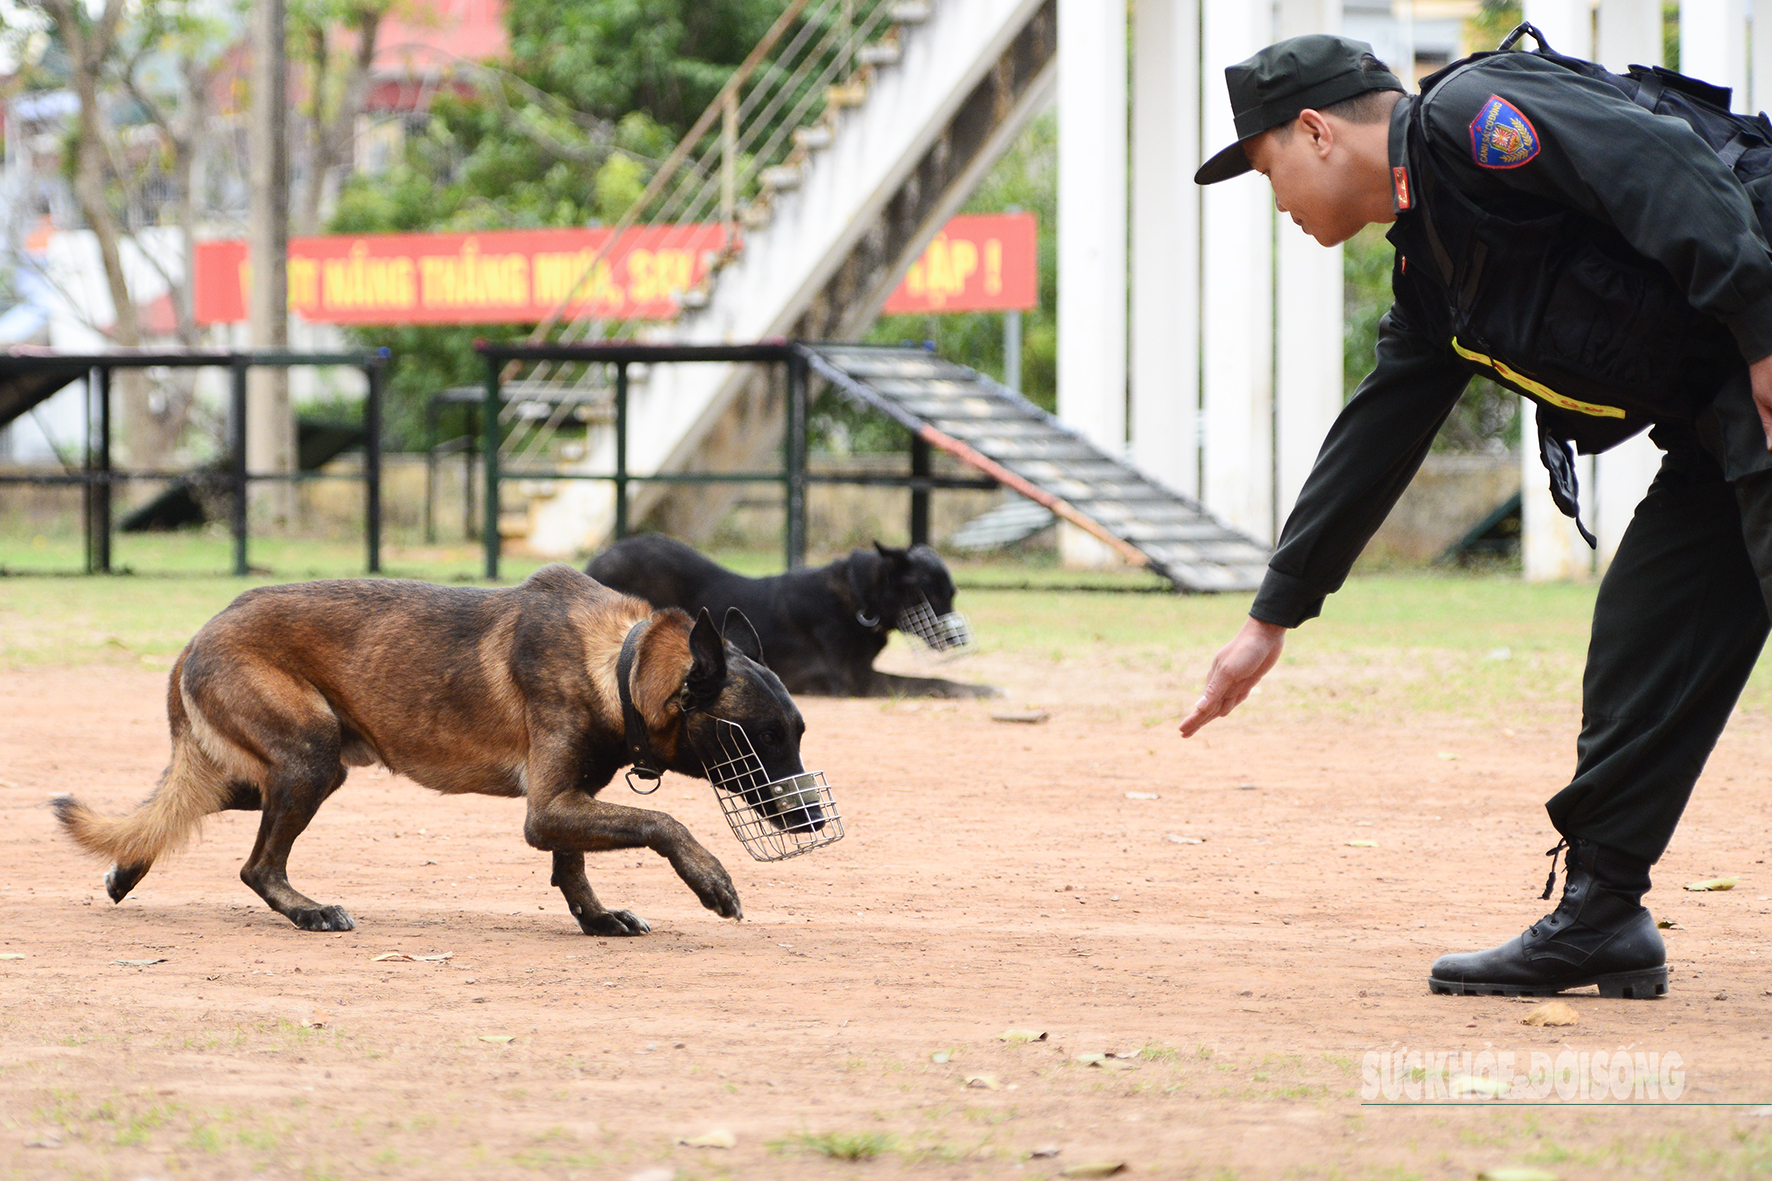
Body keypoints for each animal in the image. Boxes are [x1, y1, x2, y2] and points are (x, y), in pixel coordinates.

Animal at [46, 567, 811, 936]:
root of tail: (203, 630)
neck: (622, 664)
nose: (815, 819)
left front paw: (597, 919)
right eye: (763, 736)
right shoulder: (550, 808)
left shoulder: (568, 802)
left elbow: (574, 868)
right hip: (311, 758)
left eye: (798, 734)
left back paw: (128, 866)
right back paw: (309, 911)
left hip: (296, 767)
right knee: (256, 865)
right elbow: (663, 822)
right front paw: (711, 879)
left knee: (194, 803)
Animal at [584, 535, 992, 695]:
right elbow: (928, 681)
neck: (862, 600)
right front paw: (983, 690)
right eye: (934, 594)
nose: (961, 638)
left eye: (952, 594)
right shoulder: (856, 681)